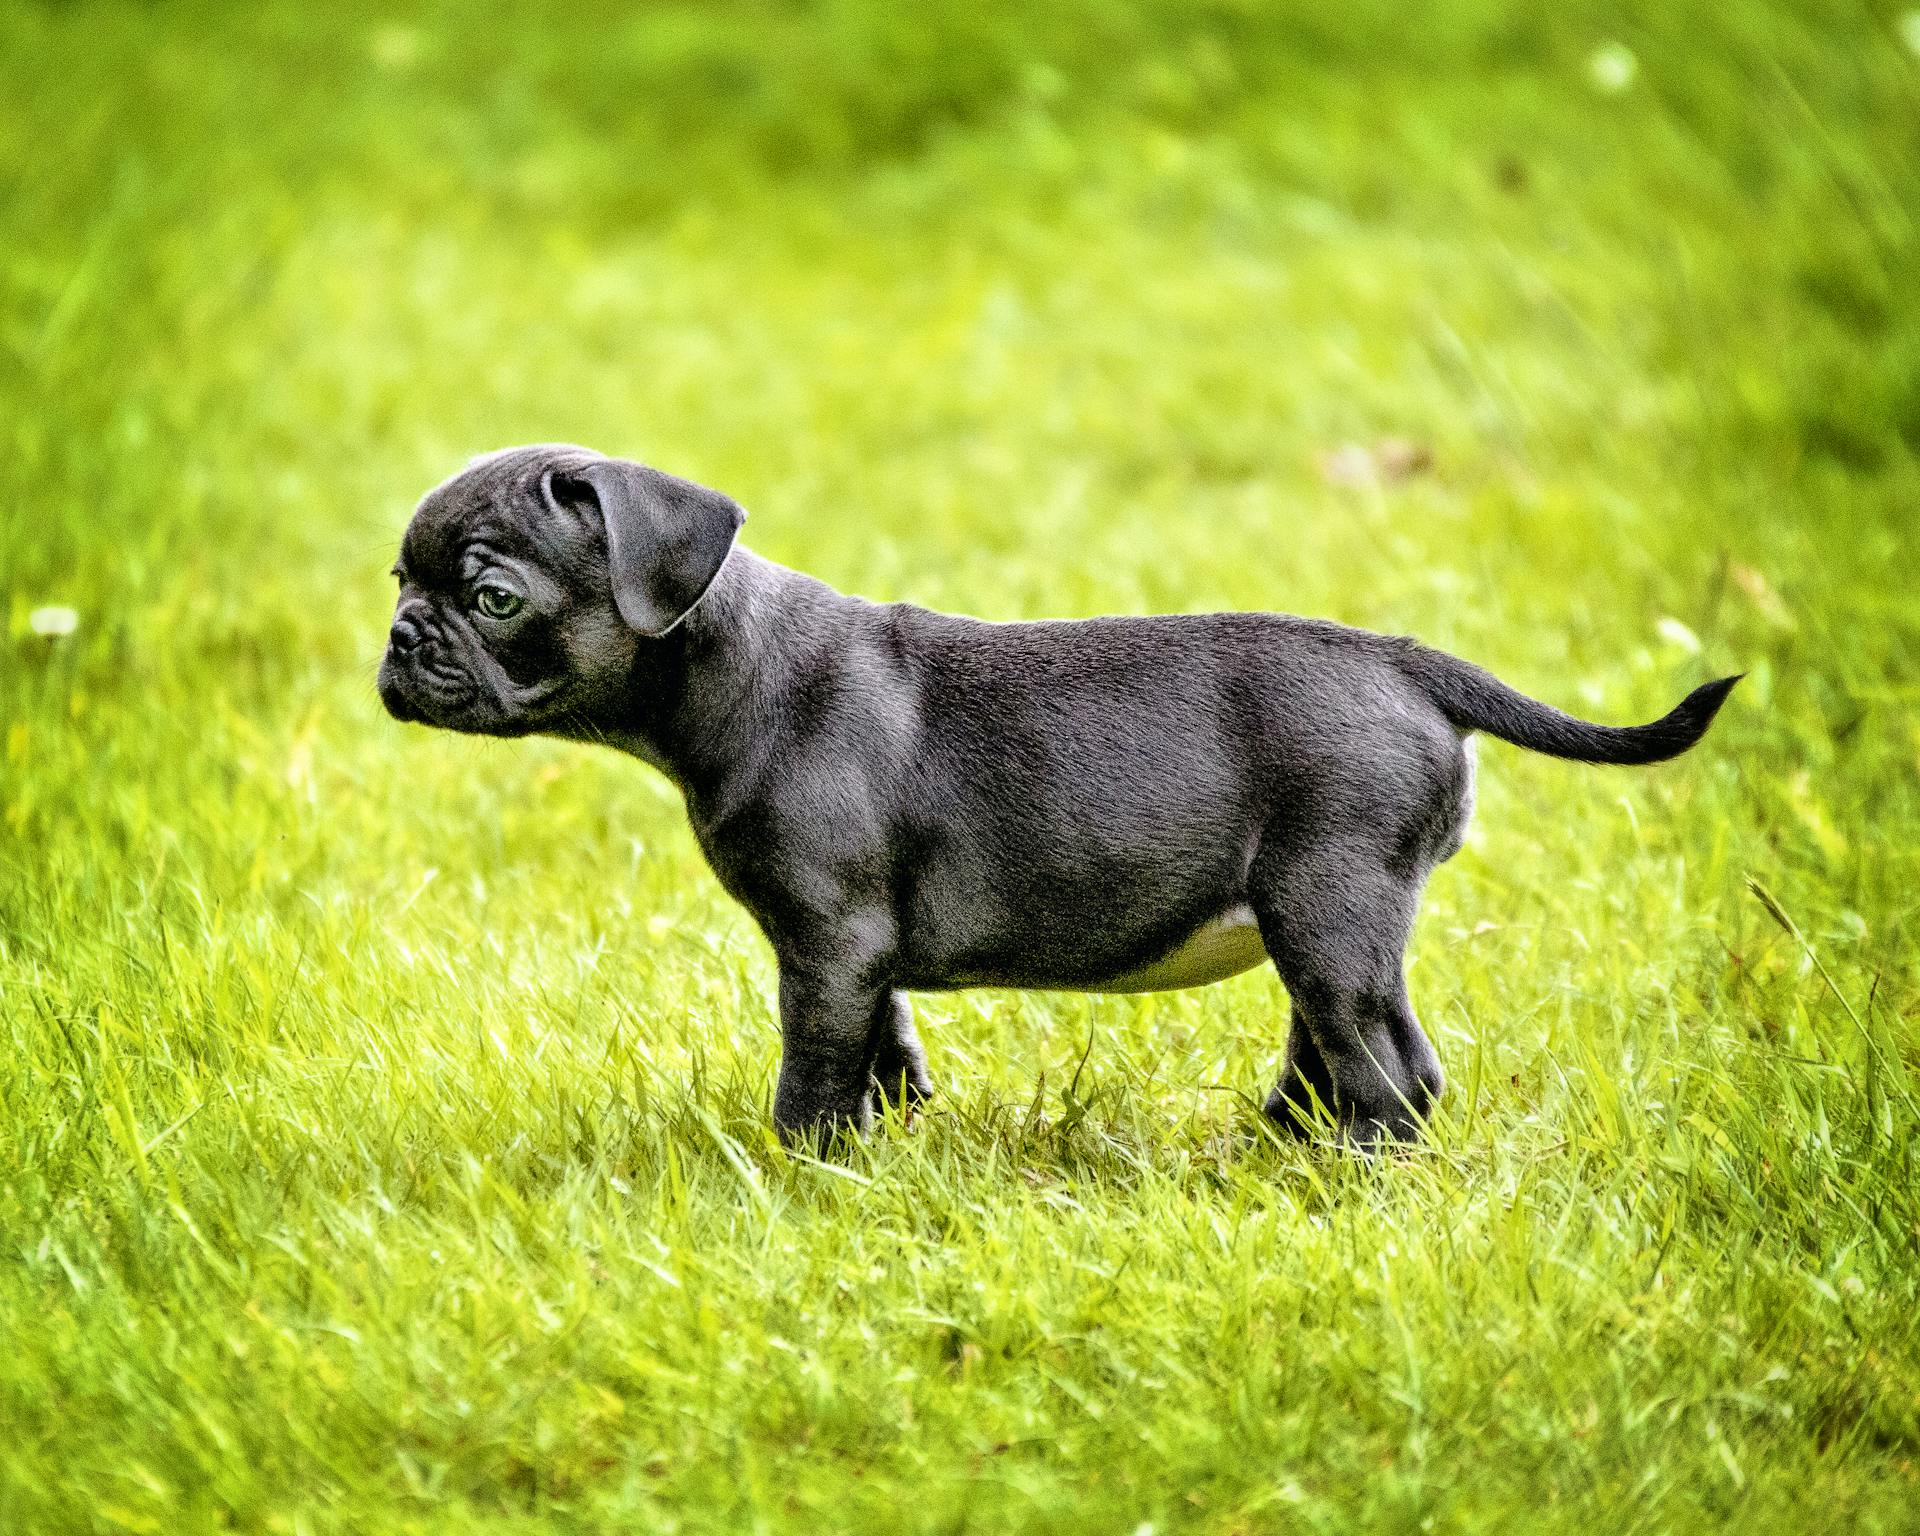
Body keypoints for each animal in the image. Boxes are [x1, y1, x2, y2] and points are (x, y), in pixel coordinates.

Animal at [382, 441, 1735, 1136]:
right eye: (400, 578)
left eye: (493, 597)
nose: (397, 639)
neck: (728, 659)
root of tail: (1407, 662)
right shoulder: (858, 953)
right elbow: (885, 1042)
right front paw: (891, 1139)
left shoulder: (825, 942)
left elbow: (813, 1065)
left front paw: (802, 1164)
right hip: (1321, 917)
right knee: (1333, 1042)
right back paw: (1284, 1142)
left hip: (1331, 905)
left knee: (1390, 1062)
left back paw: (1356, 1165)